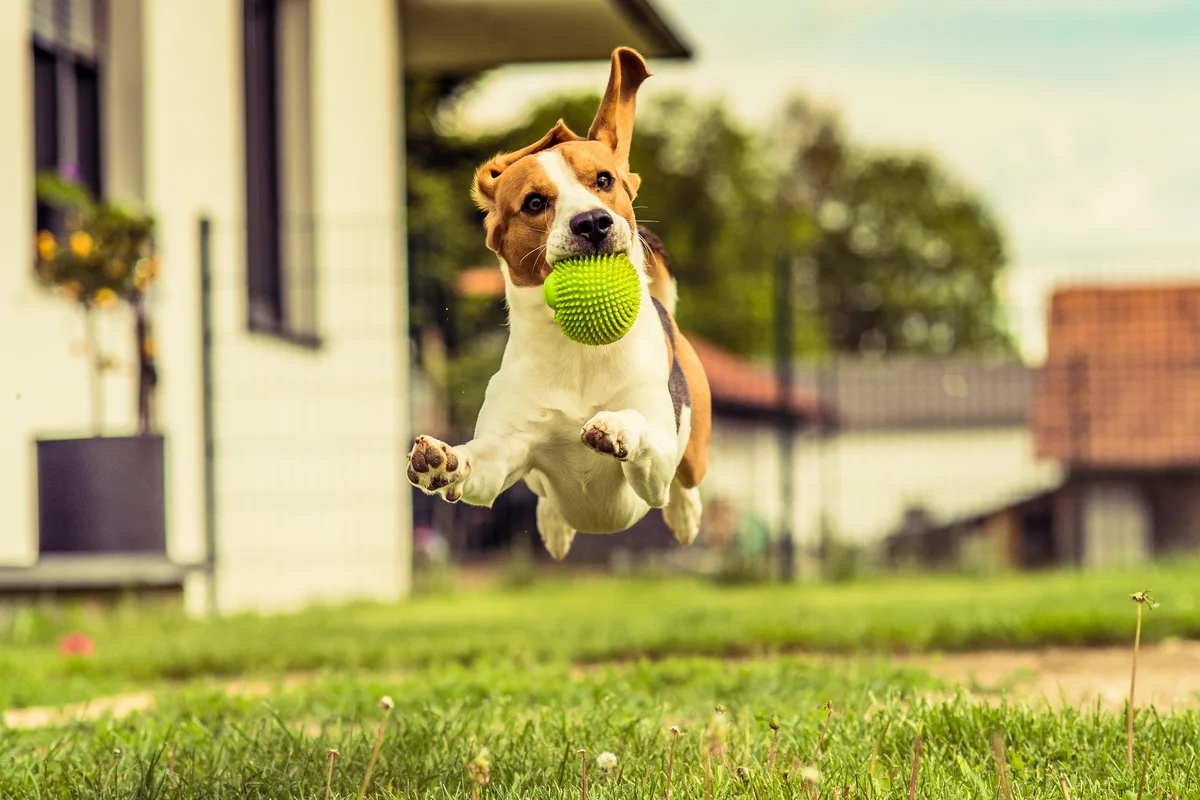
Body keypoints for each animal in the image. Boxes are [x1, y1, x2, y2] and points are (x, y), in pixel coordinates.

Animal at [410, 47, 710, 561]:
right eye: (534, 203)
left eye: (604, 180)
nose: (592, 222)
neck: (579, 349)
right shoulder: (505, 452)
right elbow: (477, 461)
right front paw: (443, 461)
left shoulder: (654, 463)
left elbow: (641, 431)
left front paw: (615, 427)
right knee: (545, 498)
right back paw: (554, 525)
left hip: (691, 447)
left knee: (685, 483)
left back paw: (685, 515)